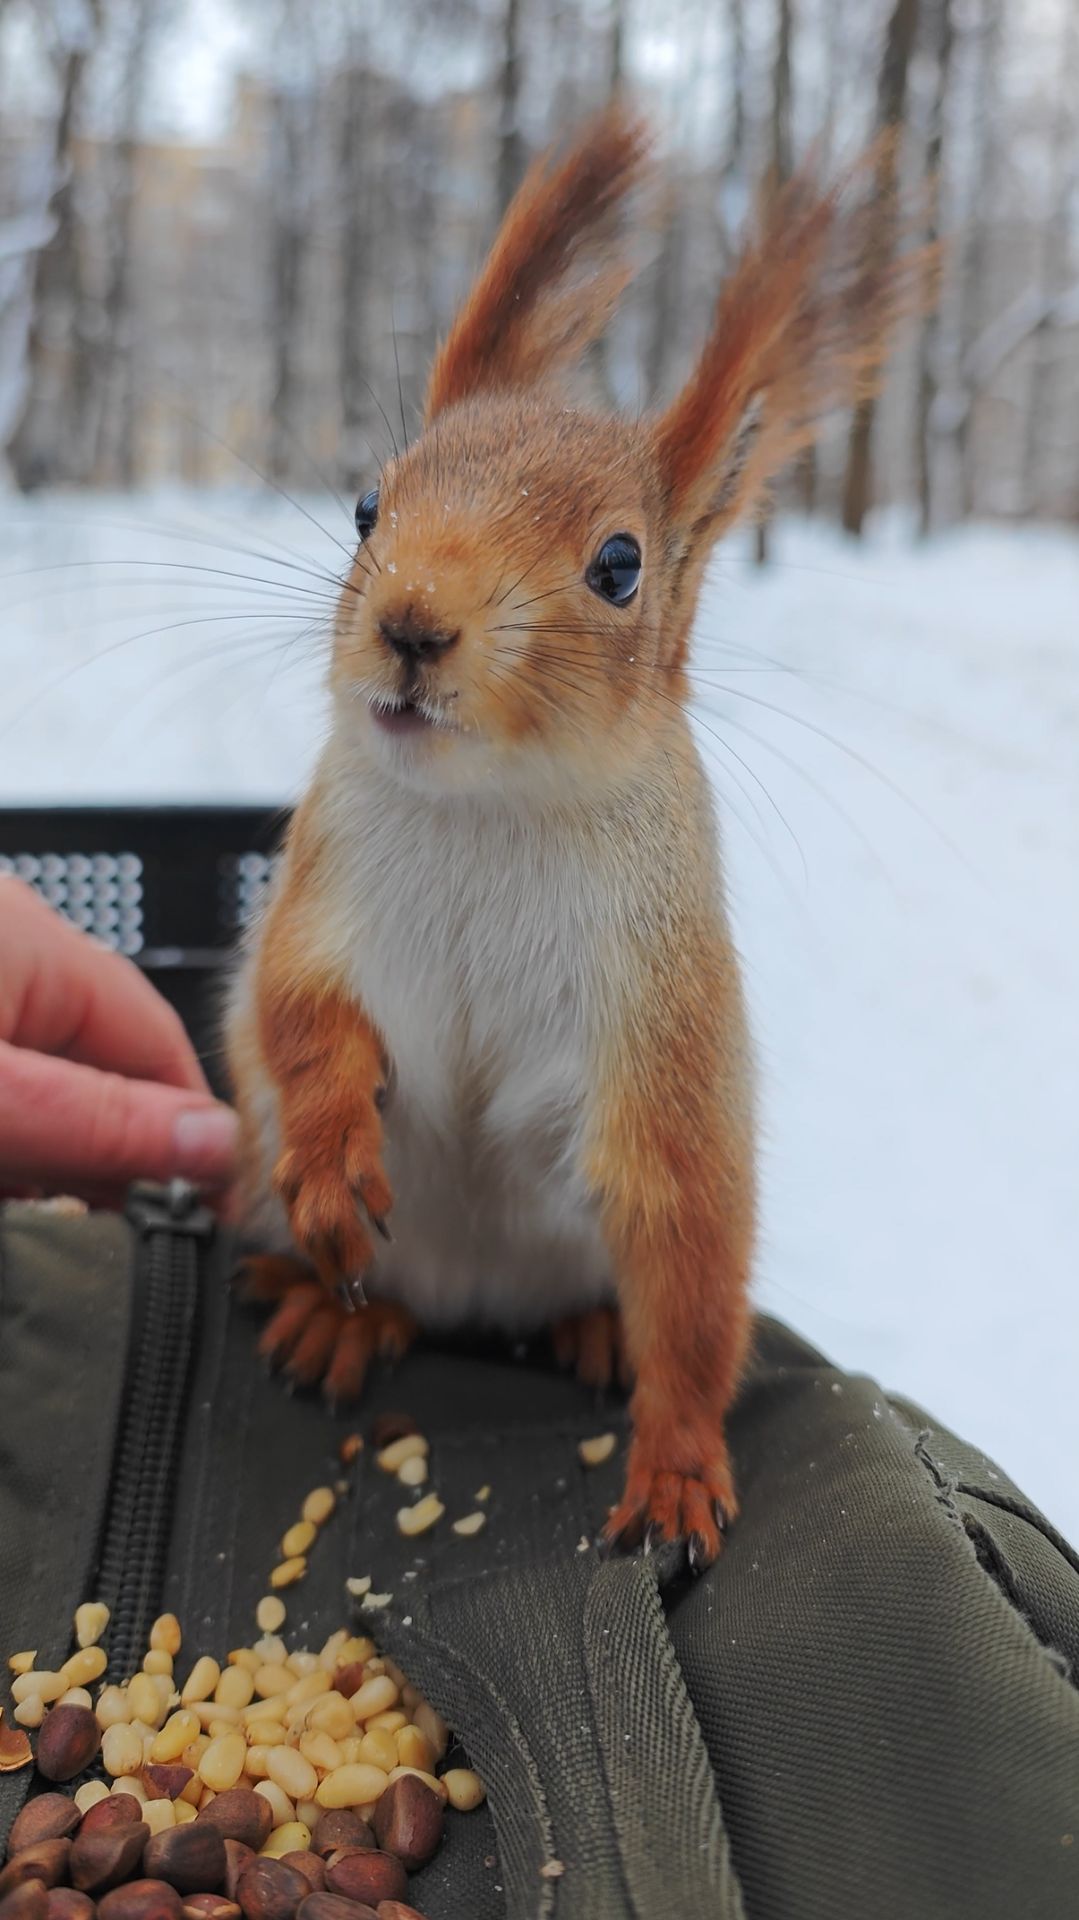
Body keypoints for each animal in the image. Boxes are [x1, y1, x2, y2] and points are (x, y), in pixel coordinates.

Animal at [226, 106, 924, 1565]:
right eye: (366, 506)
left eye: (618, 566)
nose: (410, 624)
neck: (489, 808)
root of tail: (474, 1301)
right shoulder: (318, 890)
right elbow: (297, 1012)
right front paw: (329, 1157)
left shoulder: (661, 1022)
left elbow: (686, 1245)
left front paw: (675, 1463)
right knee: (386, 1289)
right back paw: (332, 1308)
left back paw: (596, 1330)